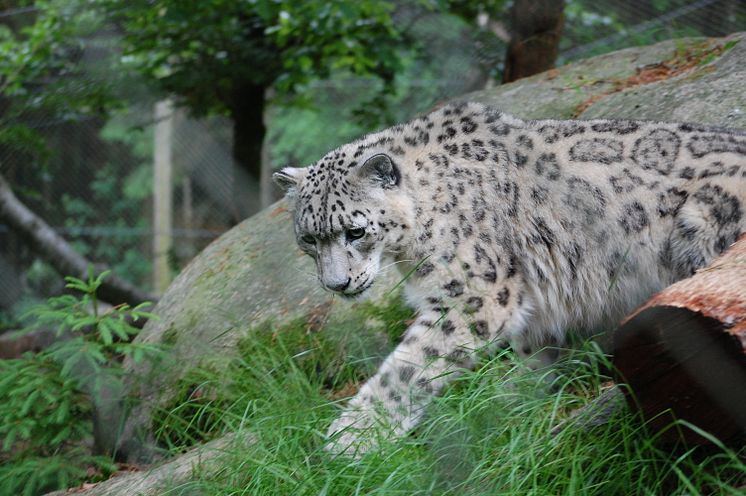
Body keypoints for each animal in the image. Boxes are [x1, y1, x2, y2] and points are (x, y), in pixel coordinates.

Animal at [272, 100, 744, 454]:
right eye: (309, 238)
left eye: (355, 231)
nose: (336, 284)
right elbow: (533, 350)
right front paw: (517, 401)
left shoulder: (471, 295)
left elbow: (407, 368)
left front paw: (352, 437)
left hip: (703, 220)